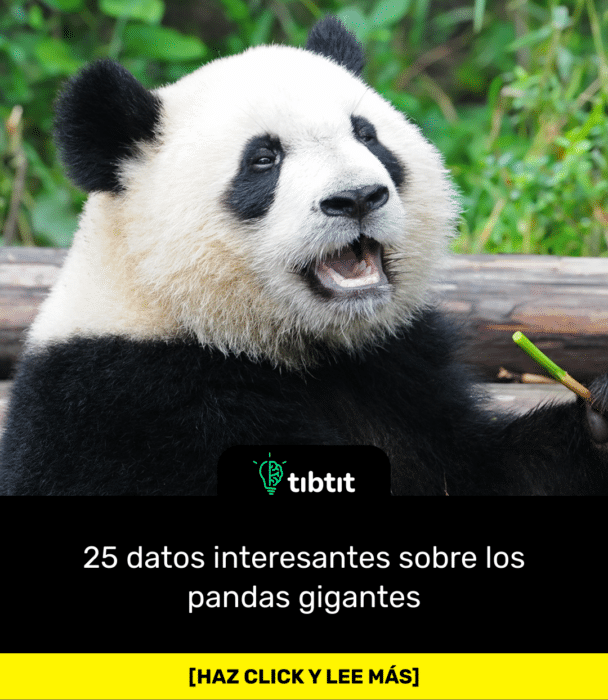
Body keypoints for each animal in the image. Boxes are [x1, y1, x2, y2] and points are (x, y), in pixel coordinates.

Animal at [1, 16, 607, 495]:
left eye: (367, 135)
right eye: (263, 159)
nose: (357, 197)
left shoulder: (398, 371)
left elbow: (485, 470)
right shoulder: (127, 406)